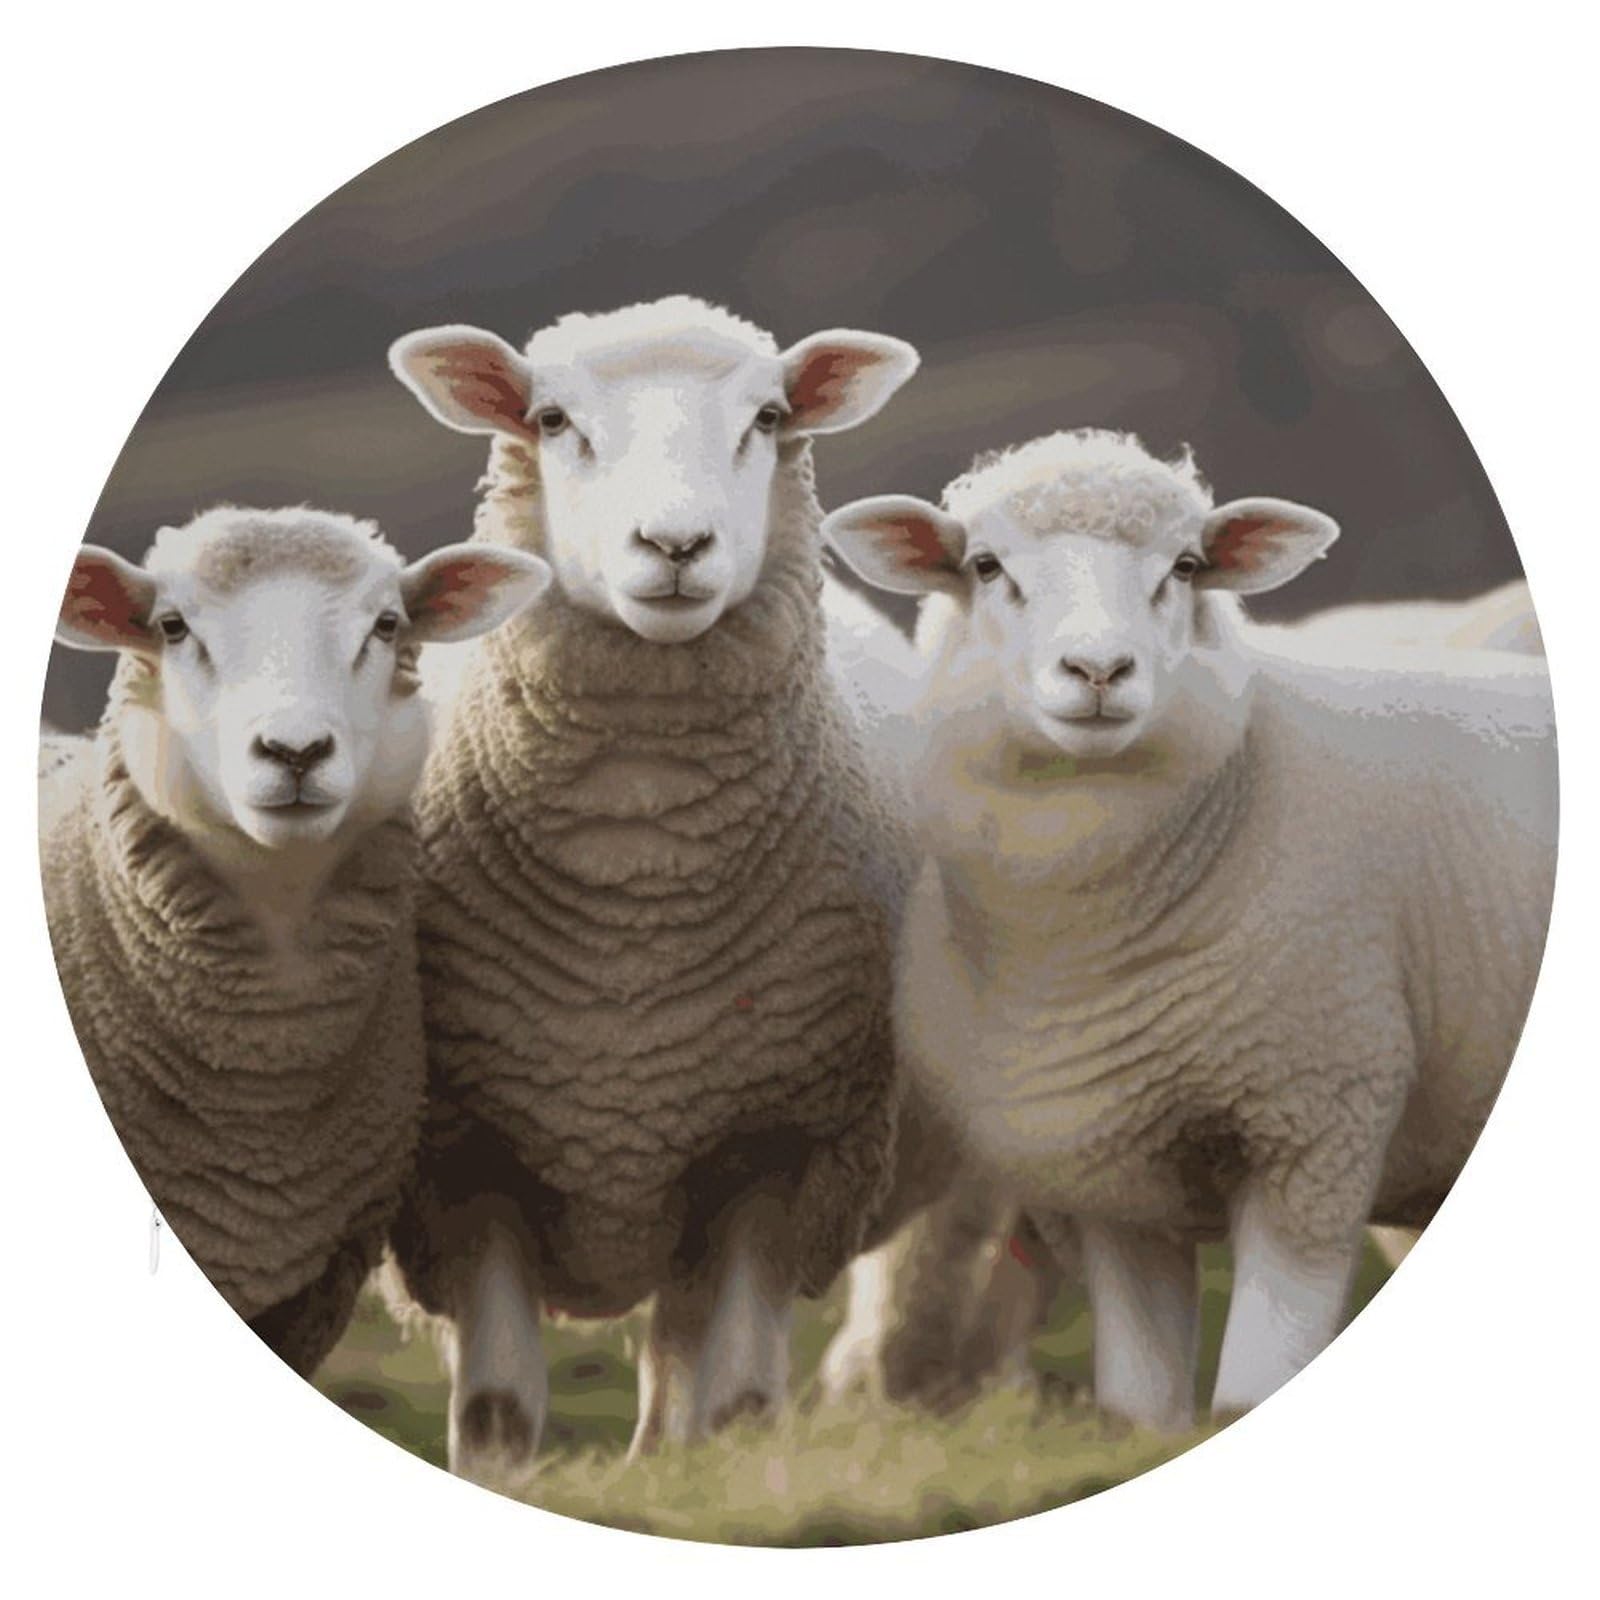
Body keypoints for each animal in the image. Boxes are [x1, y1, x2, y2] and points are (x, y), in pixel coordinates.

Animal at [383, 295, 924, 1476]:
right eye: (551, 419)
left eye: (767, 417)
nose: (675, 547)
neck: (640, 868)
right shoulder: (463, 1159)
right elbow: (497, 1409)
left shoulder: (777, 1147)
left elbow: (739, 1404)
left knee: (677, 1369)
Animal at [823, 429, 1556, 1428]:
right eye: (984, 565)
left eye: (1185, 567)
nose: (1099, 672)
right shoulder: (1104, 1168)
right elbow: (1141, 1405)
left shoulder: (1315, 1124)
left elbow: (1250, 1387)